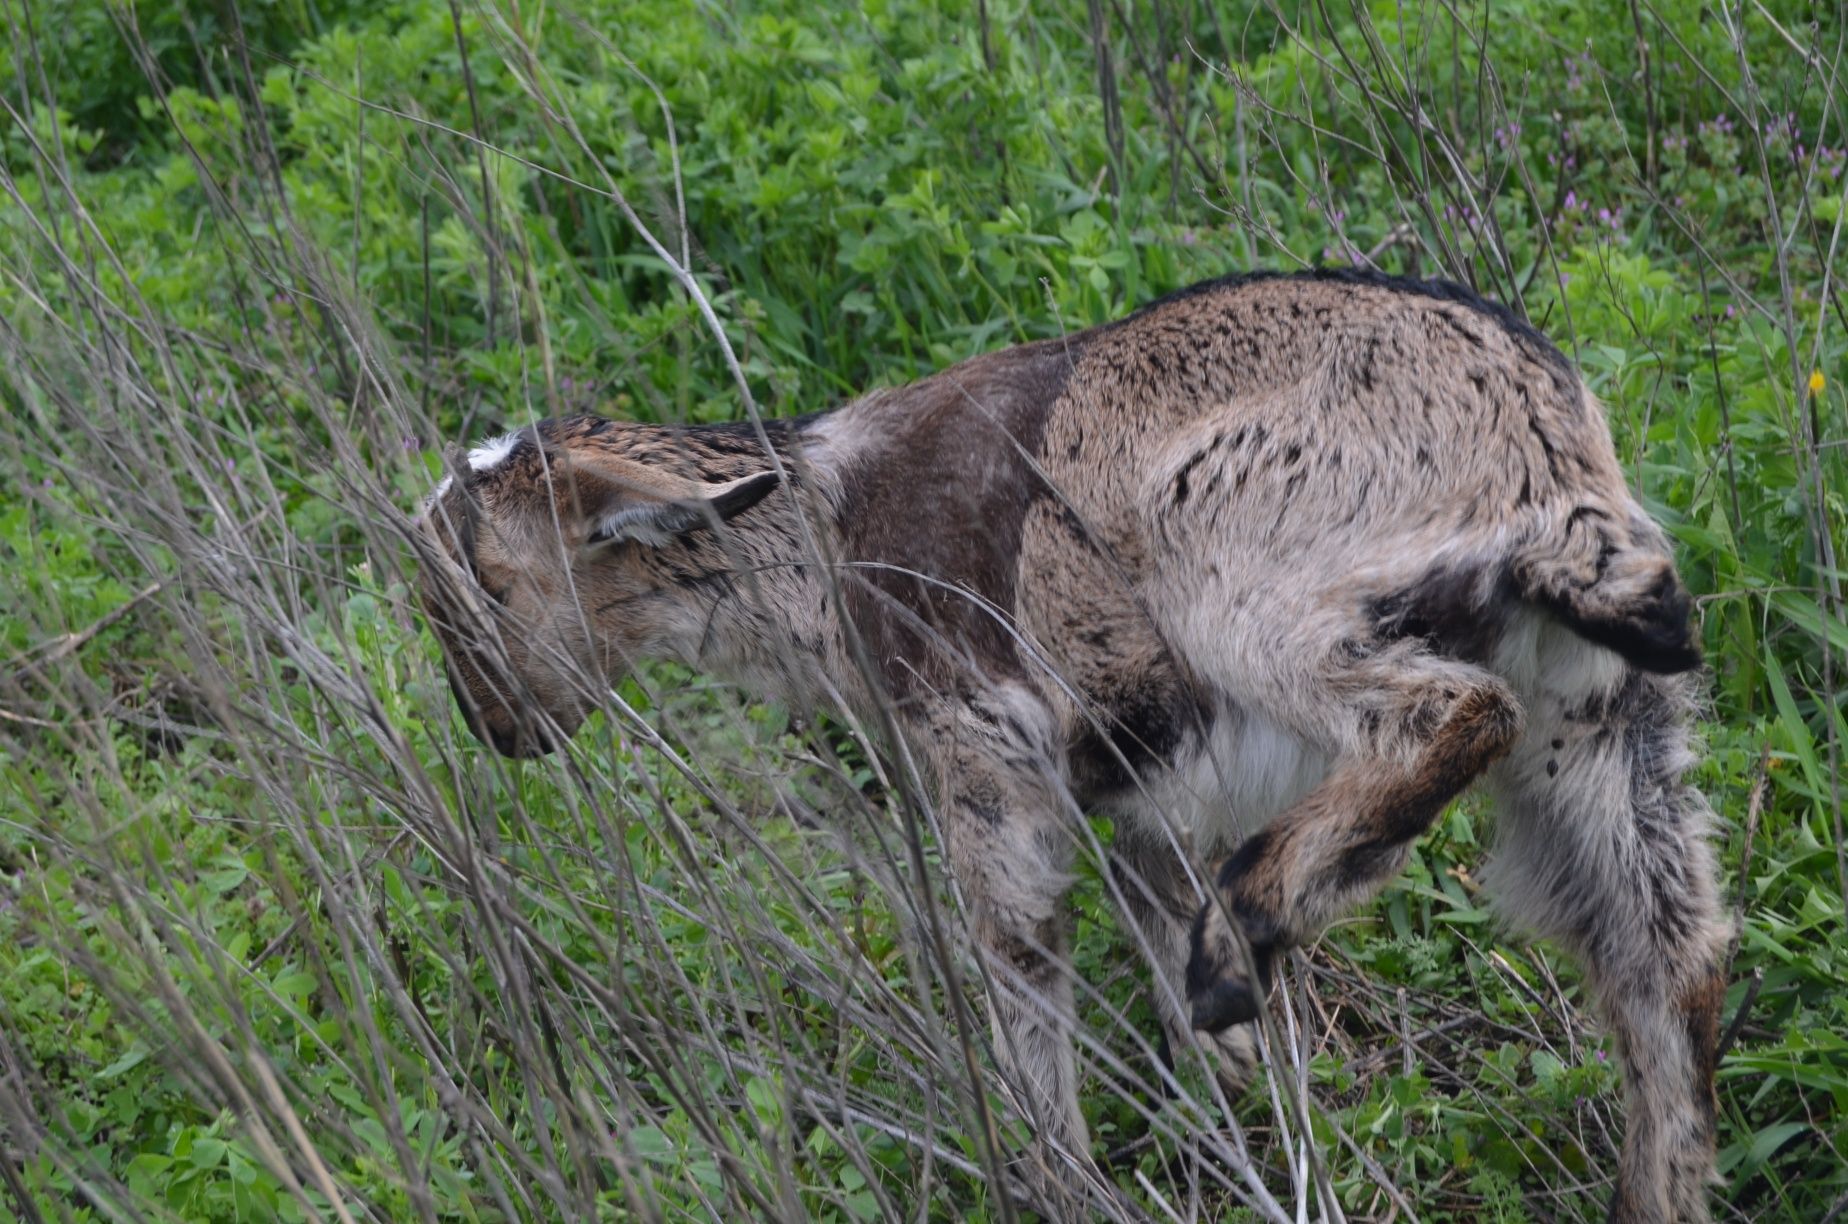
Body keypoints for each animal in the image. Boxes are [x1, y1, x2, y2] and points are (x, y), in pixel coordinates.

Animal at [419, 273, 1729, 1220]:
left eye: (494, 578)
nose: (500, 730)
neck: (823, 543)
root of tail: (1543, 466)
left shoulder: (984, 756)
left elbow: (1021, 966)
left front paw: (1070, 1183)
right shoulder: (1143, 803)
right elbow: (1164, 957)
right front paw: (1253, 1109)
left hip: (1251, 591)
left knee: (1450, 713)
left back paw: (1244, 933)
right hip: (1603, 727)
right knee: (1669, 971)